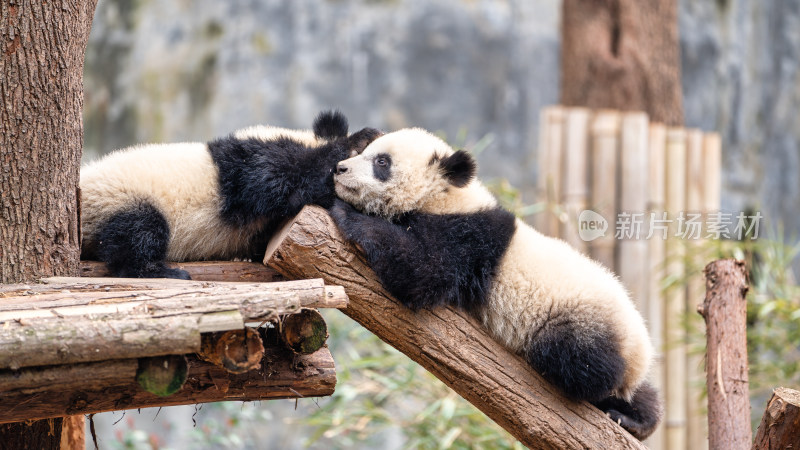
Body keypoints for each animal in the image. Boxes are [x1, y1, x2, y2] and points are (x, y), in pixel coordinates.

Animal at [81, 110, 382, 280]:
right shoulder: (249, 163)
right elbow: (272, 184)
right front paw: (359, 141)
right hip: (122, 197)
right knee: (139, 232)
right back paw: (163, 272)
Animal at [330, 125, 664, 440]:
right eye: (366, 153)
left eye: (381, 162)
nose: (340, 169)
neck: (446, 196)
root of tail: (639, 352)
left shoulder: (465, 238)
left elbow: (422, 273)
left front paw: (348, 213)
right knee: (636, 391)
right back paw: (635, 418)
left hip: (582, 322)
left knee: (580, 364)